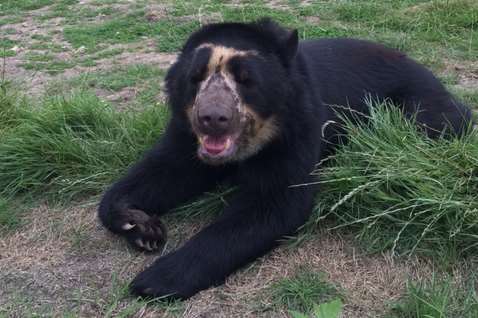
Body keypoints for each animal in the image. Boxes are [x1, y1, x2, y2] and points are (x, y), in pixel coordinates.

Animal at [99, 18, 472, 300]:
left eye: (247, 81)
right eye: (196, 78)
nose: (212, 118)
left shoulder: (297, 127)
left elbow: (275, 204)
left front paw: (155, 279)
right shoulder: (185, 131)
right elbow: (165, 170)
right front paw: (141, 225)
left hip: (417, 109)